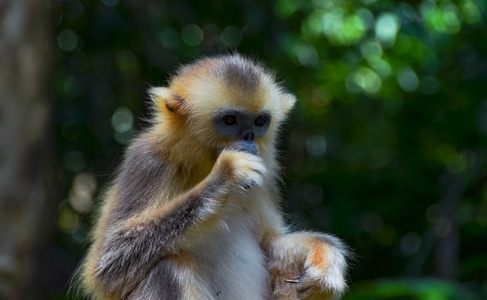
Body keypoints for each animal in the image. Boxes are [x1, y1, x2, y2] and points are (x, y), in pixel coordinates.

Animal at [76, 54, 348, 300]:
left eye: (260, 121)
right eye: (230, 120)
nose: (249, 136)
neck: (201, 166)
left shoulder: (265, 178)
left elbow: (269, 243)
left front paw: (325, 254)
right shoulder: (147, 161)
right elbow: (107, 268)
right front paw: (228, 173)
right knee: (168, 266)